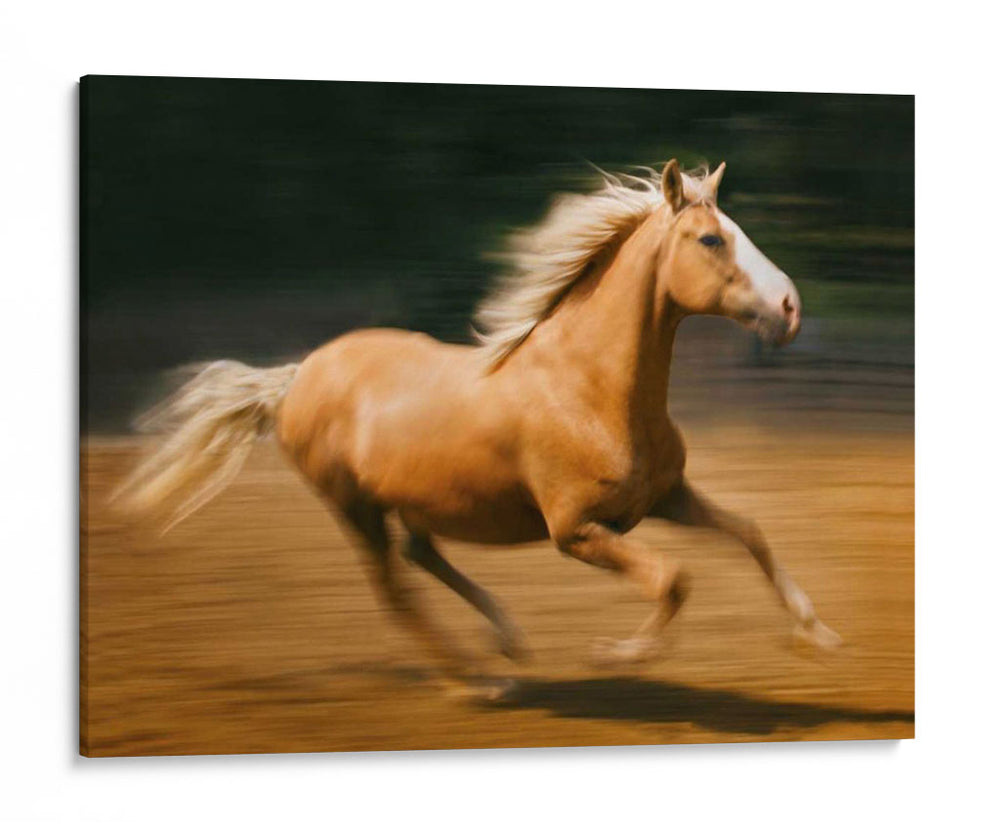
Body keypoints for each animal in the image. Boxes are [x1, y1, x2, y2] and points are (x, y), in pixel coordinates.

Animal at [117, 159, 842, 699]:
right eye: (712, 239)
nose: (790, 308)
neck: (590, 388)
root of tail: (295, 378)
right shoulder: (576, 531)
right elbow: (674, 580)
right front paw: (615, 656)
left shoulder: (665, 497)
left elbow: (749, 534)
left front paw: (818, 635)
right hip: (352, 506)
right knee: (396, 589)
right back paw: (477, 681)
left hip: (414, 499)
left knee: (421, 556)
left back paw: (506, 641)